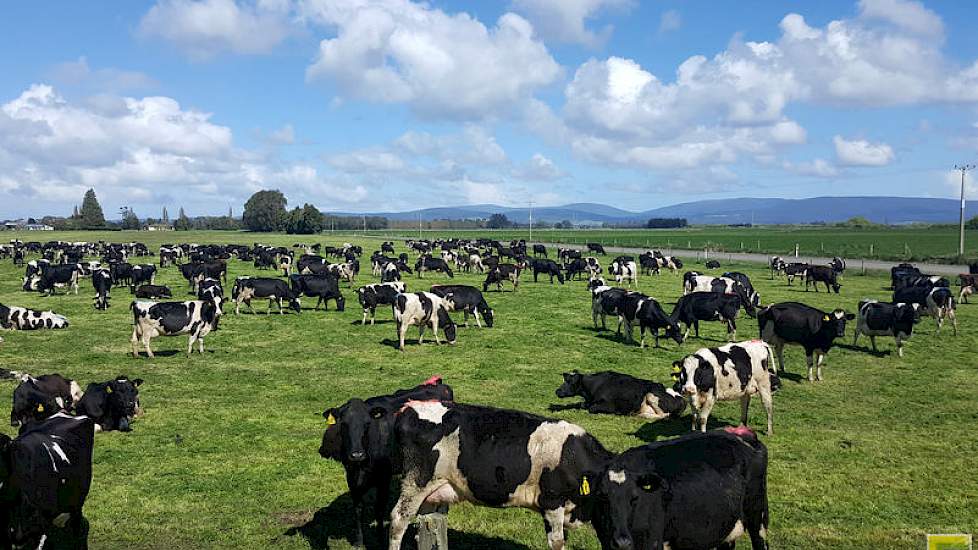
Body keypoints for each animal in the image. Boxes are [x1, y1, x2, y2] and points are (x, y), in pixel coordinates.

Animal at [322, 376, 456, 548]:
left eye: (367, 423)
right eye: (343, 424)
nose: (357, 454)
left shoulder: (384, 478)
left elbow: (379, 509)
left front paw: (380, 539)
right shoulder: (351, 477)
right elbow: (358, 509)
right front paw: (359, 542)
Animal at [386, 402, 608, 550]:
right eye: (606, 495)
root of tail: (409, 408)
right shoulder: (551, 502)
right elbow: (557, 541)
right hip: (416, 481)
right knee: (398, 519)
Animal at [552, 374, 684, 420]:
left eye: (570, 382)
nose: (557, 391)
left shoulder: (609, 405)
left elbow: (591, 408)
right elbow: (582, 404)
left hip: (651, 395)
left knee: (665, 415)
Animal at [588, 432, 772, 550]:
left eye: (635, 498)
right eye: (602, 497)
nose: (622, 542)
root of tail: (746, 439)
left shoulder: (653, 541)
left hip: (758, 516)